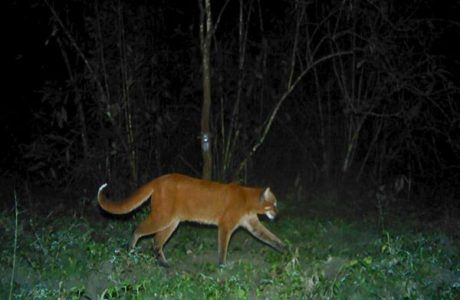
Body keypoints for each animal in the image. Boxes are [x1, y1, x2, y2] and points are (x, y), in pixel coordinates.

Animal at [96, 172, 284, 266]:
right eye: (274, 203)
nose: (277, 213)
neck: (247, 199)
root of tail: (158, 179)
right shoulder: (225, 225)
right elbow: (223, 247)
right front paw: (222, 265)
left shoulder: (252, 225)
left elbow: (270, 237)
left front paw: (284, 248)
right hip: (162, 217)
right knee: (138, 229)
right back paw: (130, 250)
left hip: (172, 222)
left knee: (156, 241)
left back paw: (164, 263)